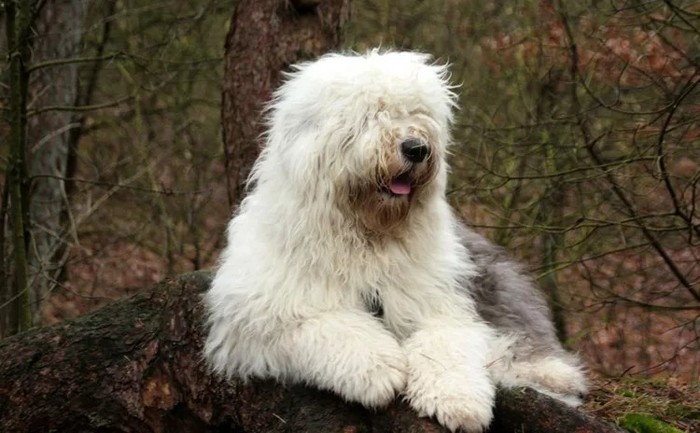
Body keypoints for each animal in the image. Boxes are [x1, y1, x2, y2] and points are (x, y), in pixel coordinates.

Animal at [205, 49, 588, 428]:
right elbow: (328, 323)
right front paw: (378, 370)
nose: (416, 148)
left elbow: (447, 342)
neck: (369, 236)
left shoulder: (440, 302)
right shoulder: (260, 314)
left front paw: (457, 402)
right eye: (371, 116)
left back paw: (550, 374)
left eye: (417, 114)